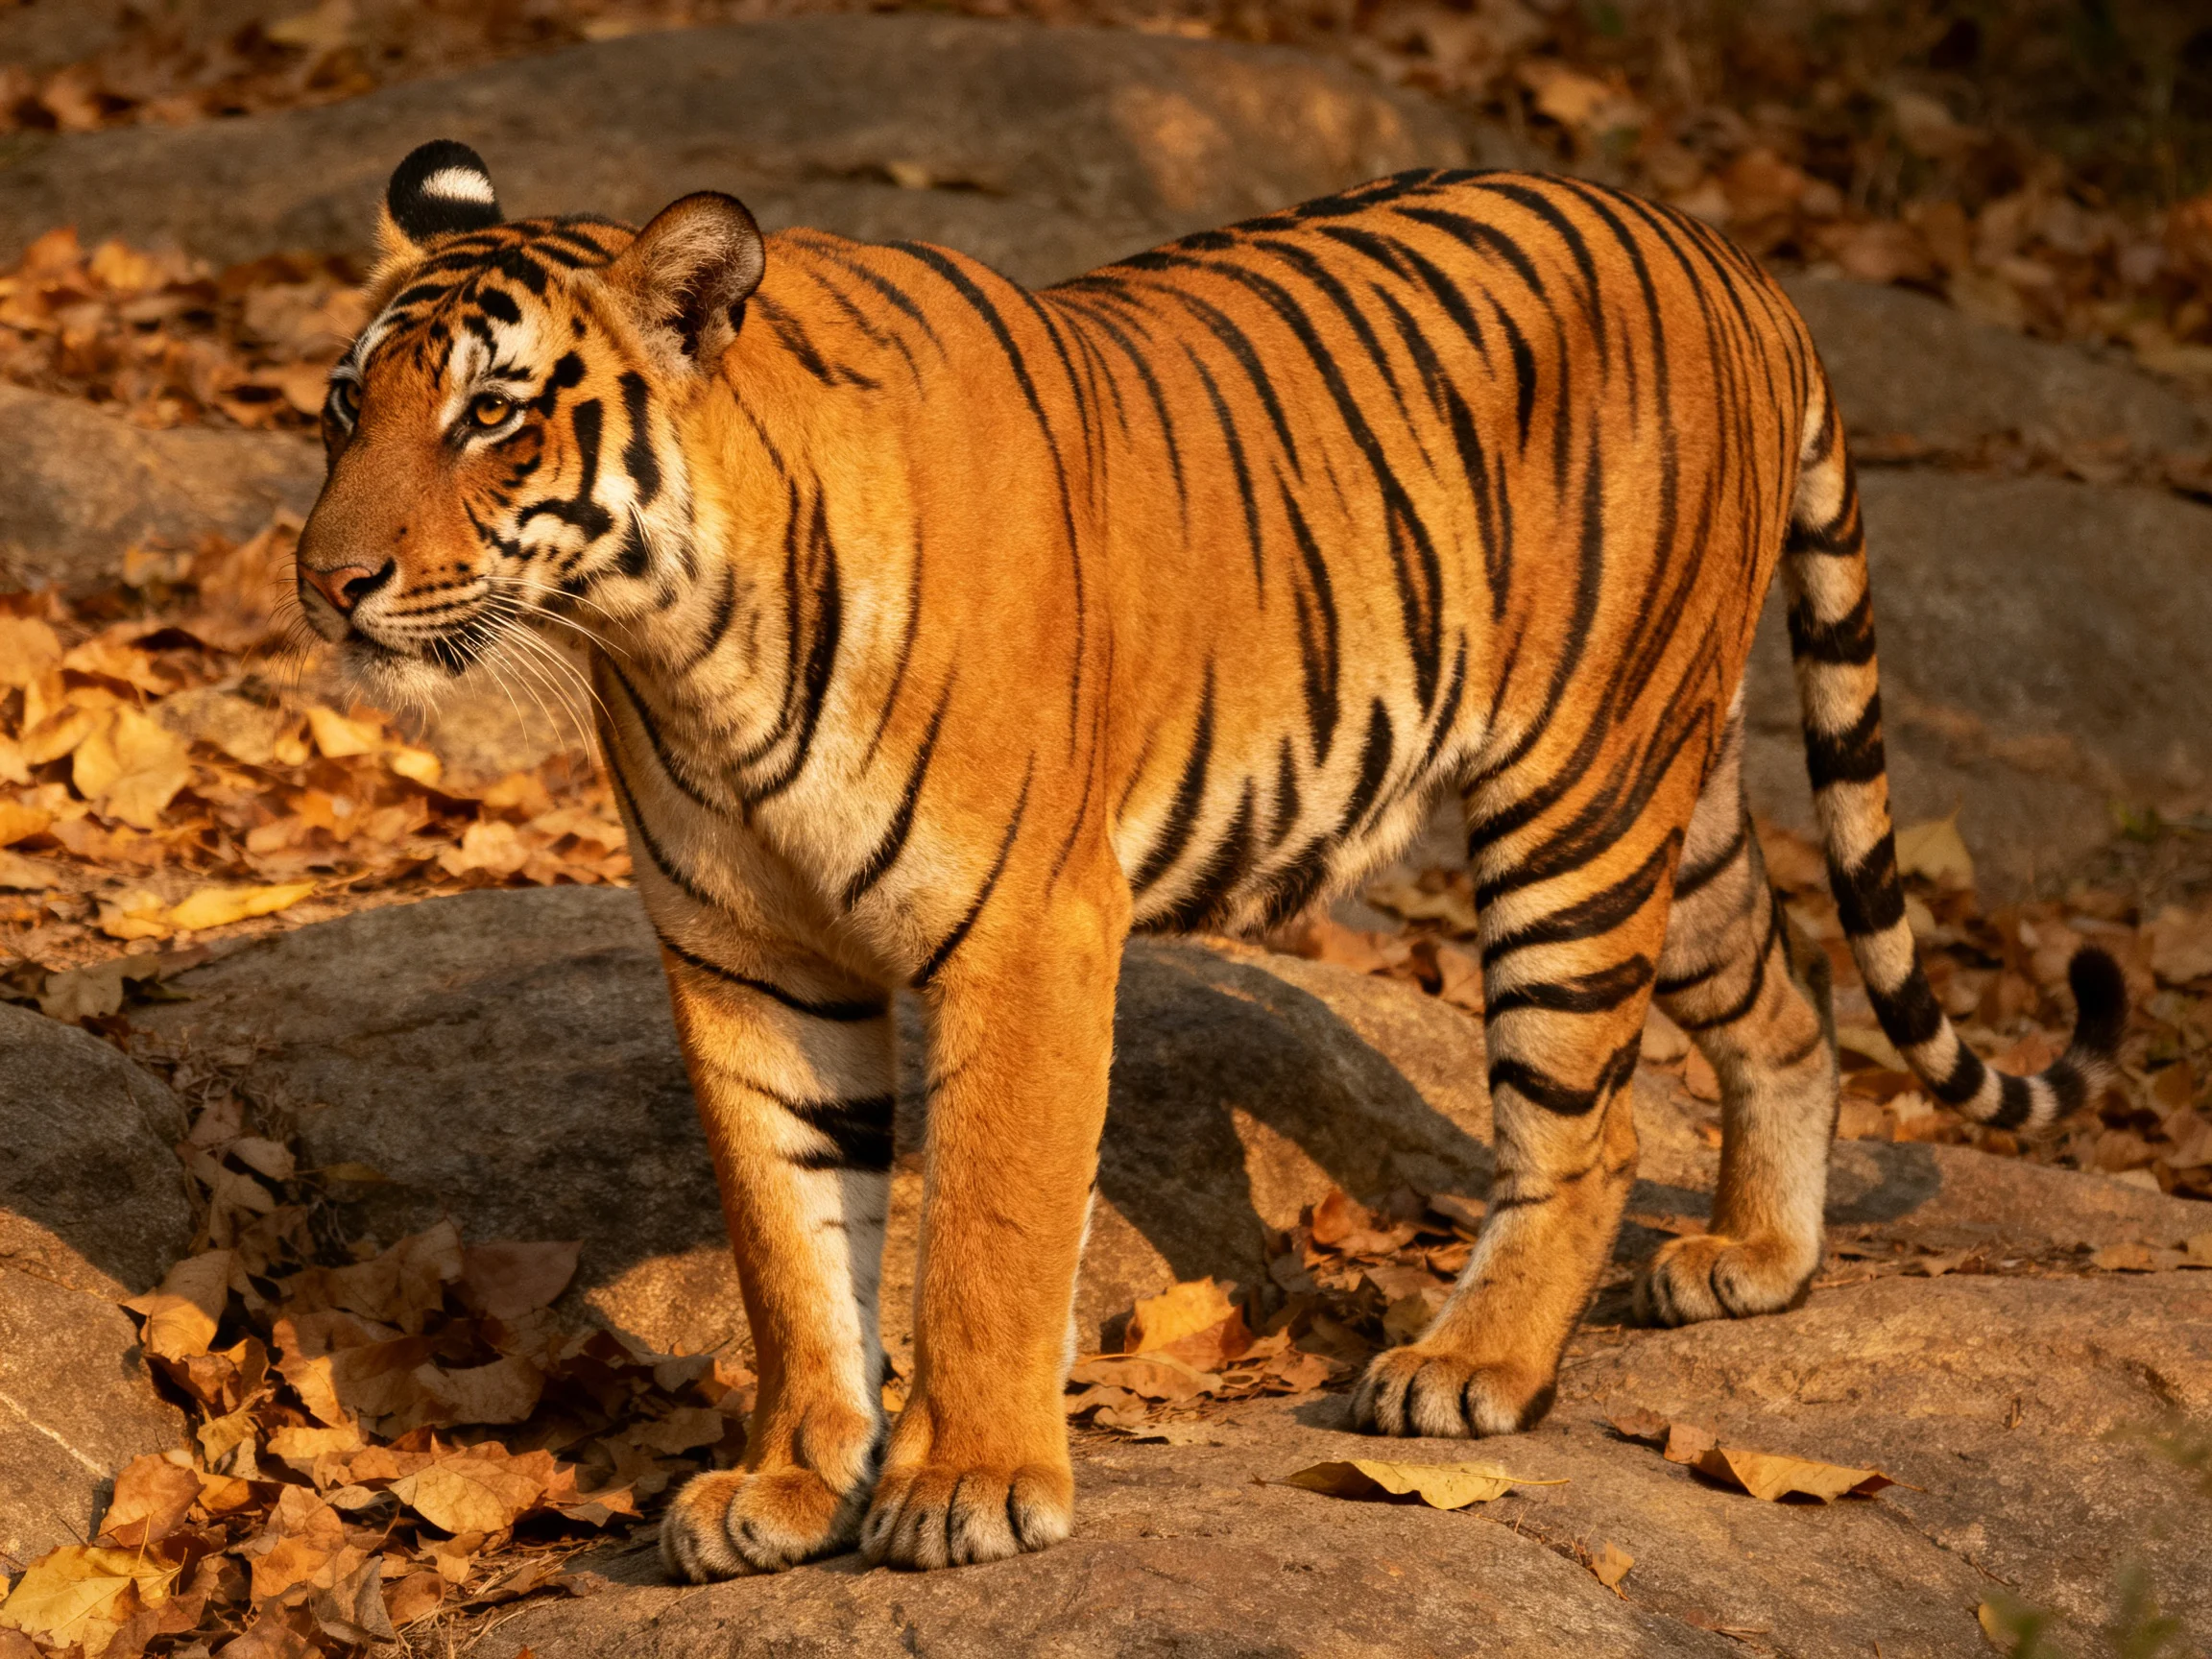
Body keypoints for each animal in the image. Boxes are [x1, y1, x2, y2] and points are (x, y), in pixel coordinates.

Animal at [296, 138, 2126, 1579]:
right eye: (342, 409)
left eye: (492, 416)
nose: (328, 580)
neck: (677, 639)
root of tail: (1731, 258)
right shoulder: (746, 959)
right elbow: (787, 1240)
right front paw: (789, 1483)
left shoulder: (1025, 928)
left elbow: (987, 1226)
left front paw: (967, 1487)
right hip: (1666, 795)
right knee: (1793, 1003)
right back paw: (1752, 1261)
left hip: (1575, 804)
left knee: (1586, 1127)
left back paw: (1466, 1367)